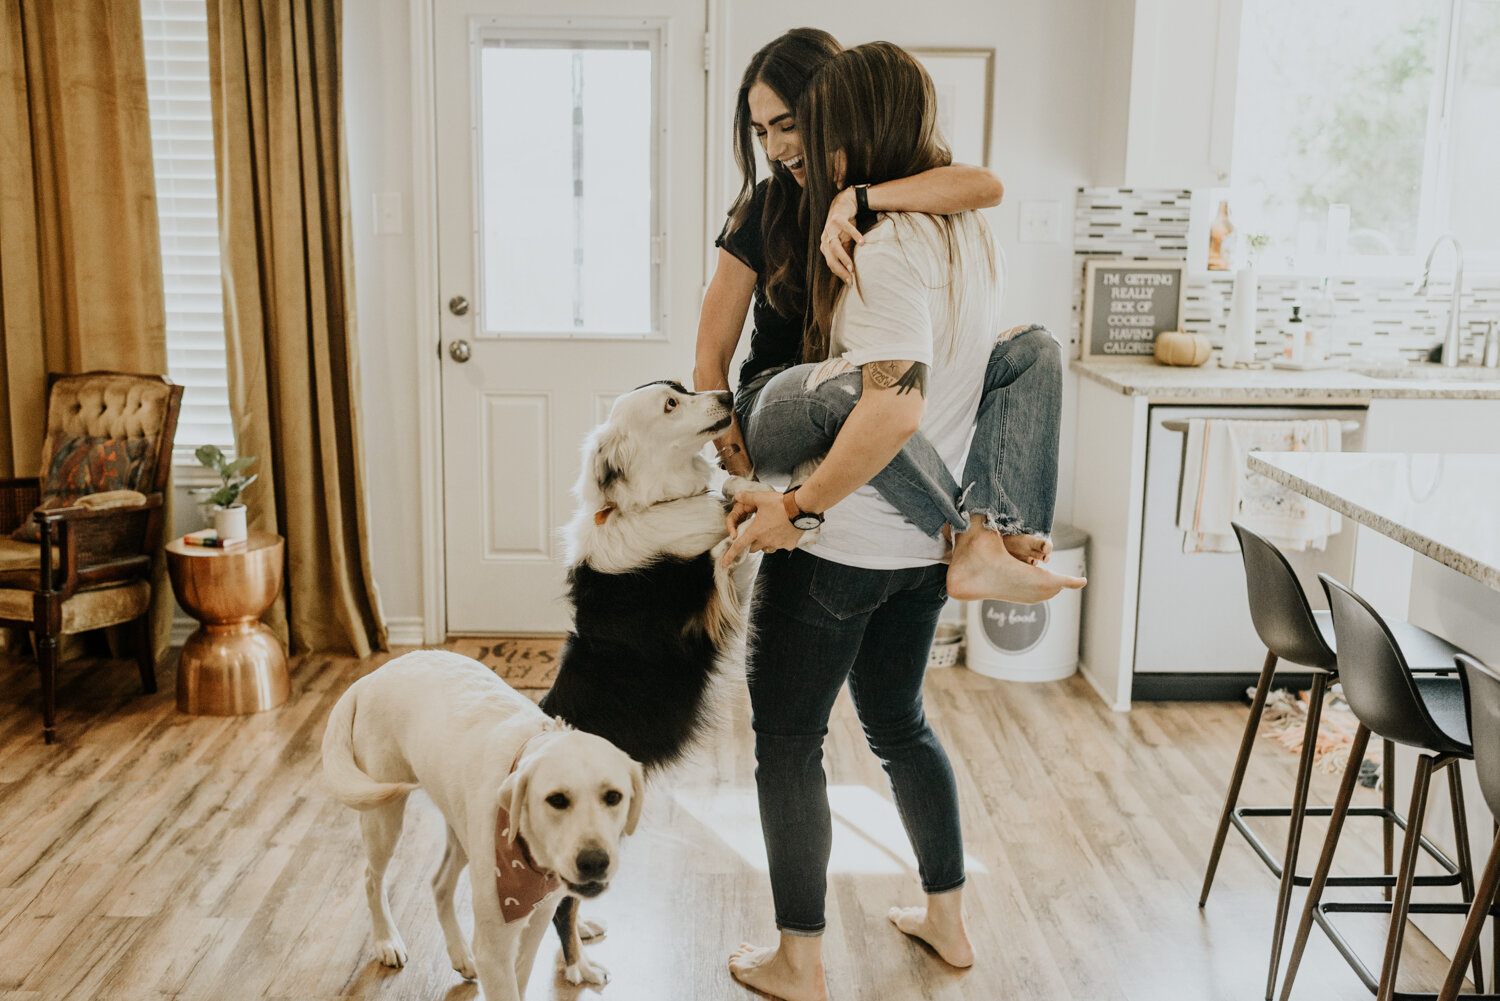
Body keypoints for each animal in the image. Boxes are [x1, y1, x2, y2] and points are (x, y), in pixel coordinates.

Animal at [322, 651, 639, 1001]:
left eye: (613, 797)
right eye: (556, 800)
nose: (595, 862)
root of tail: (372, 676)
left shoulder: (538, 919)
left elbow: (523, 974)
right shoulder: (494, 948)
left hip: (463, 833)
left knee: (439, 884)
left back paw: (460, 953)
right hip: (384, 815)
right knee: (371, 879)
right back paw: (386, 940)